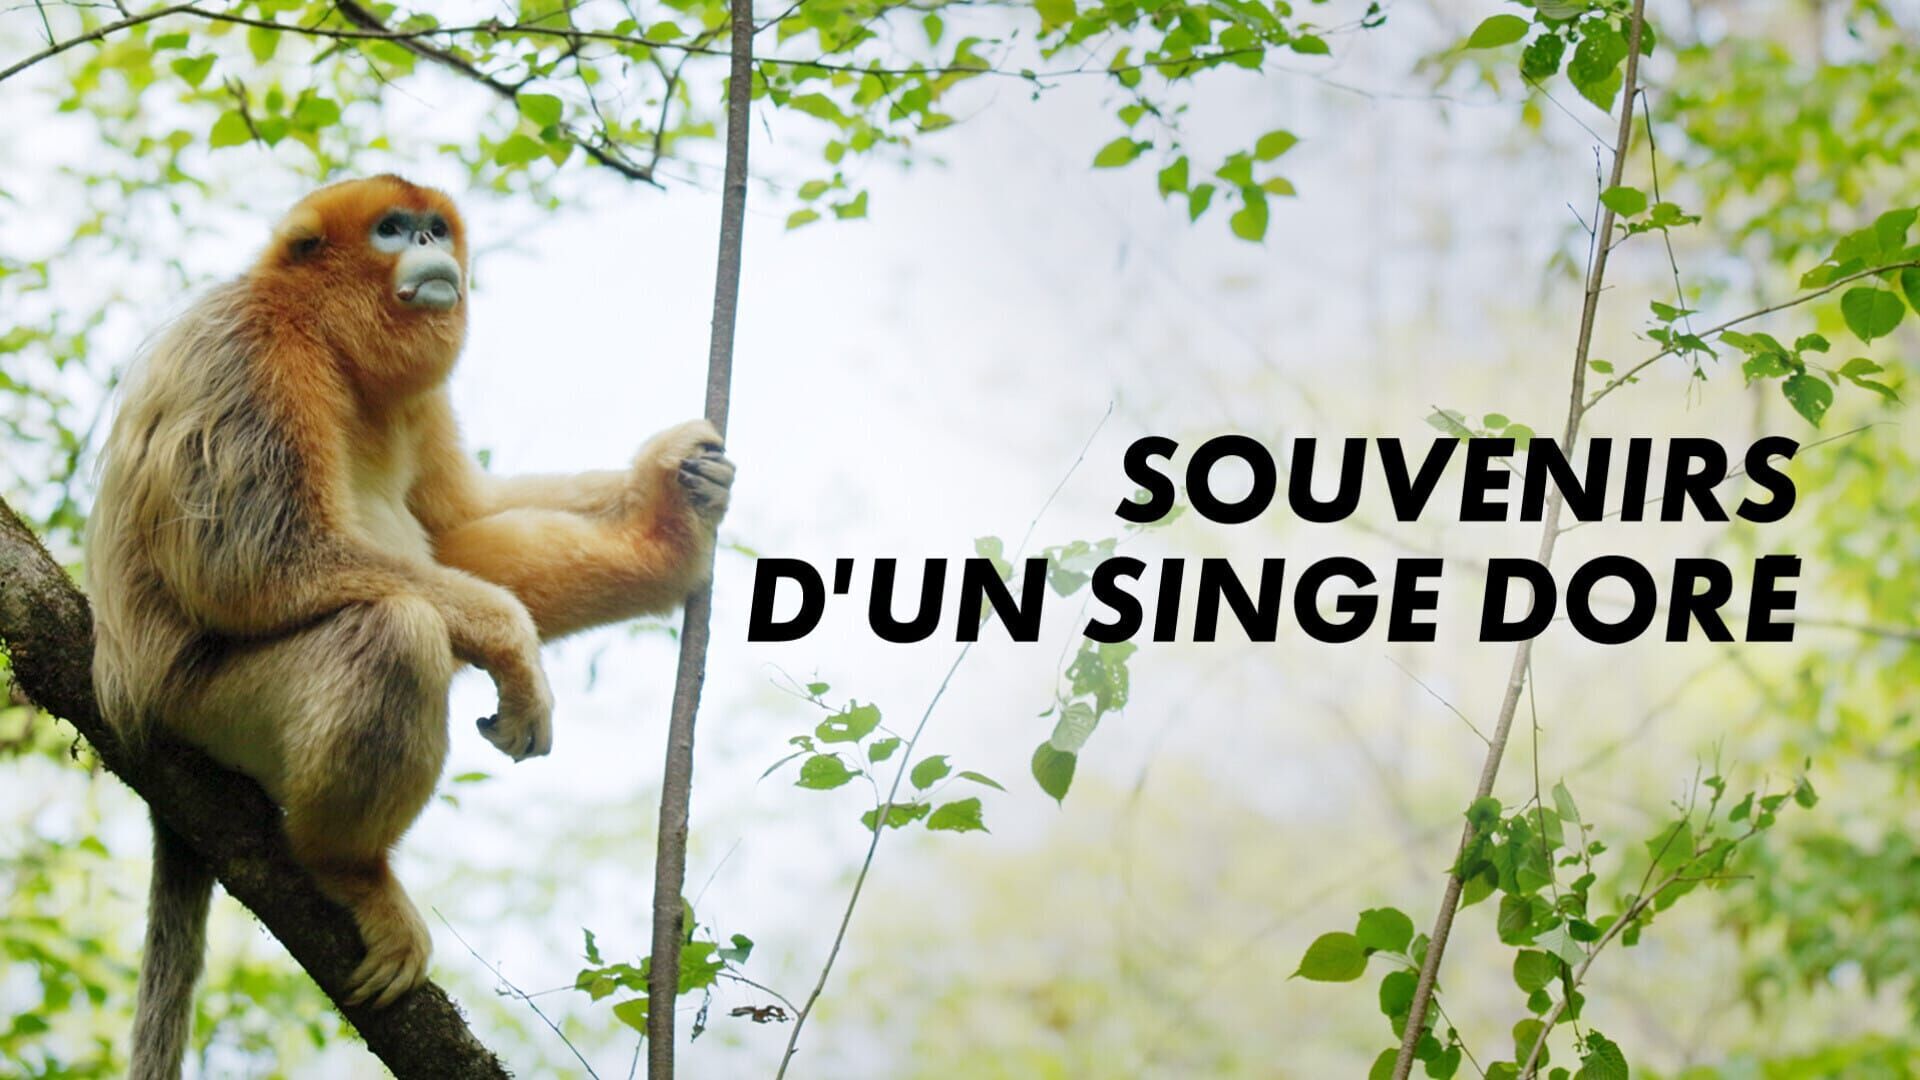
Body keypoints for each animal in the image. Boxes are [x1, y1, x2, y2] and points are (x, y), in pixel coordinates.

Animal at [85, 174, 734, 1079]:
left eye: (432, 229)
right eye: (392, 230)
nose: (428, 248)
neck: (324, 335)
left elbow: (462, 528)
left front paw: (671, 512)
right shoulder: (250, 349)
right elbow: (249, 564)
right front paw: (512, 646)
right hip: (196, 710)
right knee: (392, 630)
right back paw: (348, 869)